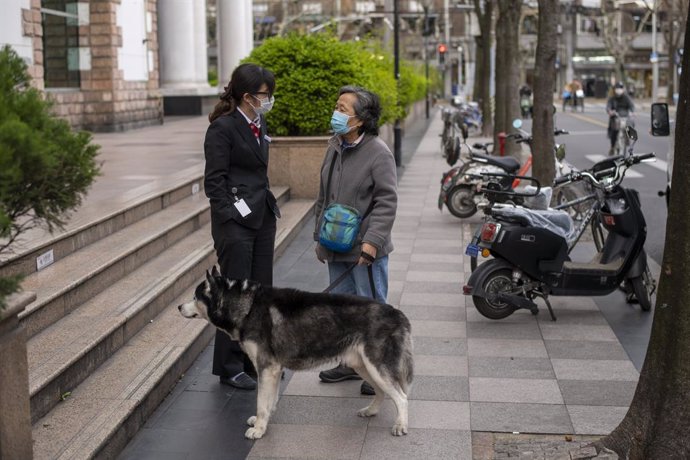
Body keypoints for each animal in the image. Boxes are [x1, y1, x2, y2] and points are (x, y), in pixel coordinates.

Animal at [179, 268, 414, 440]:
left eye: (195, 296)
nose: (179, 306)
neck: (248, 306)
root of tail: (397, 313)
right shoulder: (273, 369)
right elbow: (269, 400)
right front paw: (263, 421)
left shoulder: (267, 367)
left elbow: (261, 402)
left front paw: (259, 429)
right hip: (363, 366)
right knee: (382, 392)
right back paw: (371, 411)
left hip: (376, 366)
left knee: (401, 397)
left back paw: (401, 425)